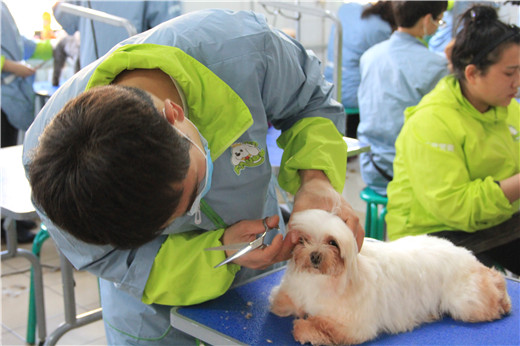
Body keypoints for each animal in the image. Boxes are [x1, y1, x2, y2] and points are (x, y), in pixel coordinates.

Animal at [270, 209, 510, 344]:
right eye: (303, 240)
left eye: (332, 243)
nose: (314, 256)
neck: (323, 279)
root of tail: (466, 254)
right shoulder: (292, 294)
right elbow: (282, 303)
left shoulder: (354, 326)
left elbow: (322, 325)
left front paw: (303, 328)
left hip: (466, 303)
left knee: (494, 283)